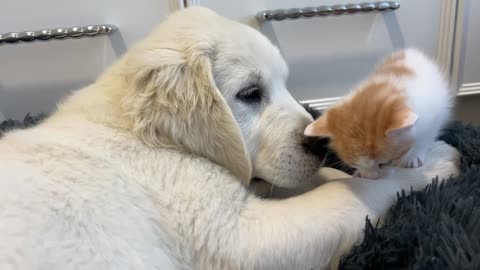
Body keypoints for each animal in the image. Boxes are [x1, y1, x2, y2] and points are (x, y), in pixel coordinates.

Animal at [306, 49, 452, 179]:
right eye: (354, 164)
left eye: (384, 163)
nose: (373, 178)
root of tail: (411, 51)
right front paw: (360, 174)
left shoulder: (432, 116)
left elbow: (425, 137)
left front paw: (413, 156)